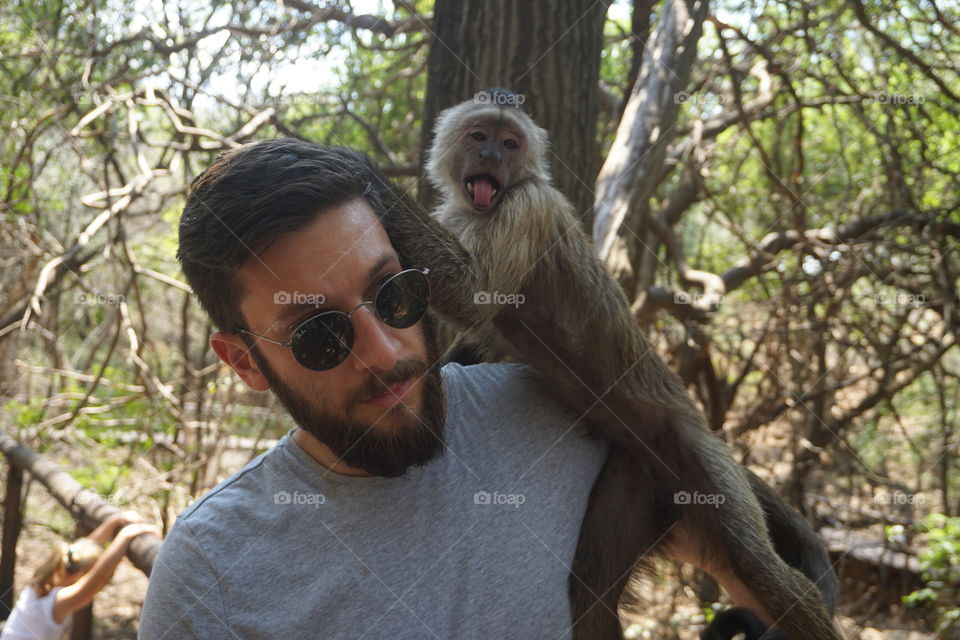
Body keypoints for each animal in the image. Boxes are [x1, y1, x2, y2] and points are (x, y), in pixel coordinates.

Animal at [376, 88, 839, 640]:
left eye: (510, 144)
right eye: (479, 136)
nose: (490, 157)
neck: (488, 207)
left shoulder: (531, 205)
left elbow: (469, 295)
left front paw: (350, 170)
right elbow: (477, 337)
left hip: (698, 455)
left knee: (758, 570)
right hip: (639, 475)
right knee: (590, 591)